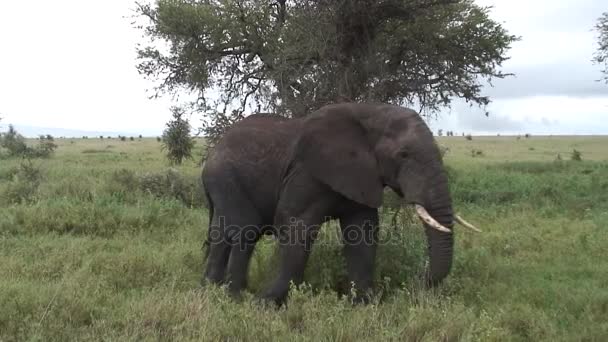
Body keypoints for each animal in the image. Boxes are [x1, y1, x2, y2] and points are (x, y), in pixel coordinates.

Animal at [202, 102, 482, 304]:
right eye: (403, 155)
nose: (414, 284)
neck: (373, 112)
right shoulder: (306, 173)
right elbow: (296, 226)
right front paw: (266, 304)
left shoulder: (362, 176)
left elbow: (363, 233)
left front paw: (364, 304)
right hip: (226, 179)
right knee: (244, 230)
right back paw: (235, 297)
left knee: (223, 232)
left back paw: (213, 290)